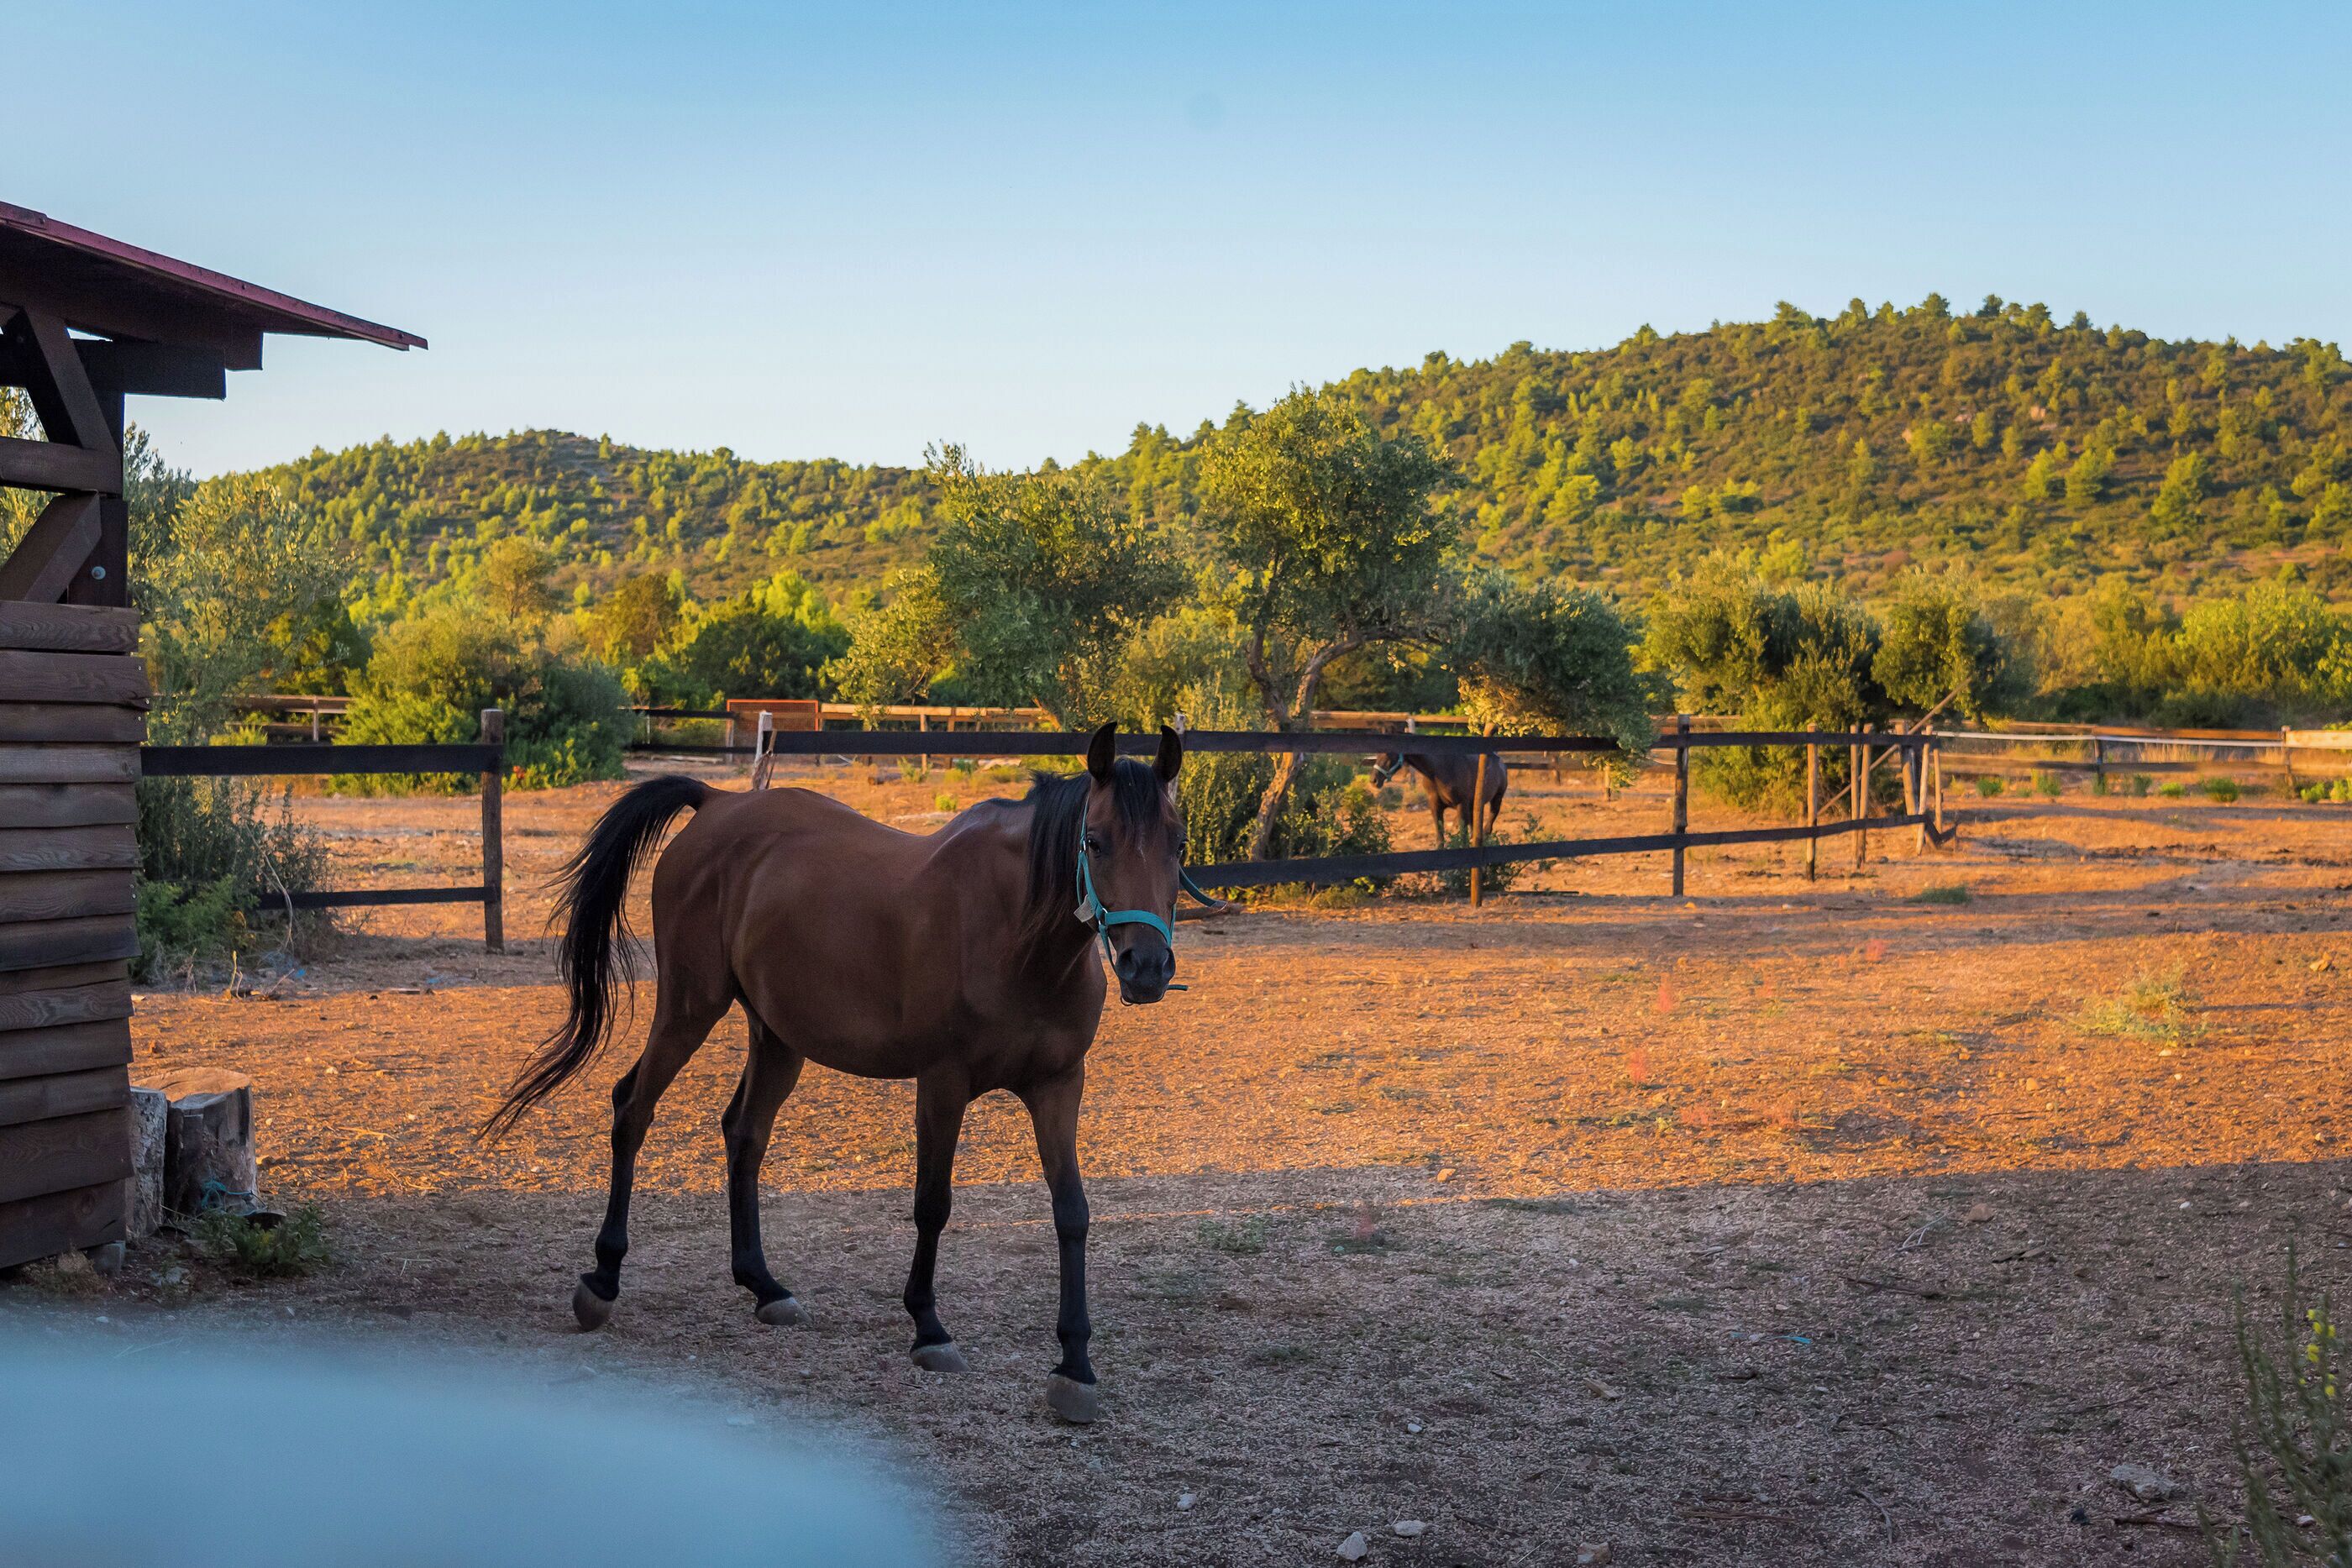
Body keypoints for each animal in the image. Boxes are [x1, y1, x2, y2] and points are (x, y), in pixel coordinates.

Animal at [486, 722, 1189, 1425]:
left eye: (1178, 843)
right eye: (1094, 840)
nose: (1147, 966)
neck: (1017, 932)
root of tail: (718, 802)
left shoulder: (1058, 1086)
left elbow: (1072, 1211)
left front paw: (1075, 1364)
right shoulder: (942, 1083)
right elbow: (933, 1203)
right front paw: (929, 1328)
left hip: (778, 1037)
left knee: (744, 1134)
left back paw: (763, 1285)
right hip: (689, 1008)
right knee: (633, 1108)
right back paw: (603, 1278)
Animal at [1370, 747, 1506, 850]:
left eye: (1388, 753)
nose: (1373, 780)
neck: (1438, 770)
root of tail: (1500, 762)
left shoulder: (1461, 805)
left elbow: (1463, 837)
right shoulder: (1435, 806)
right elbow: (1440, 838)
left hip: (1496, 800)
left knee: (1488, 827)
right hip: (1476, 805)